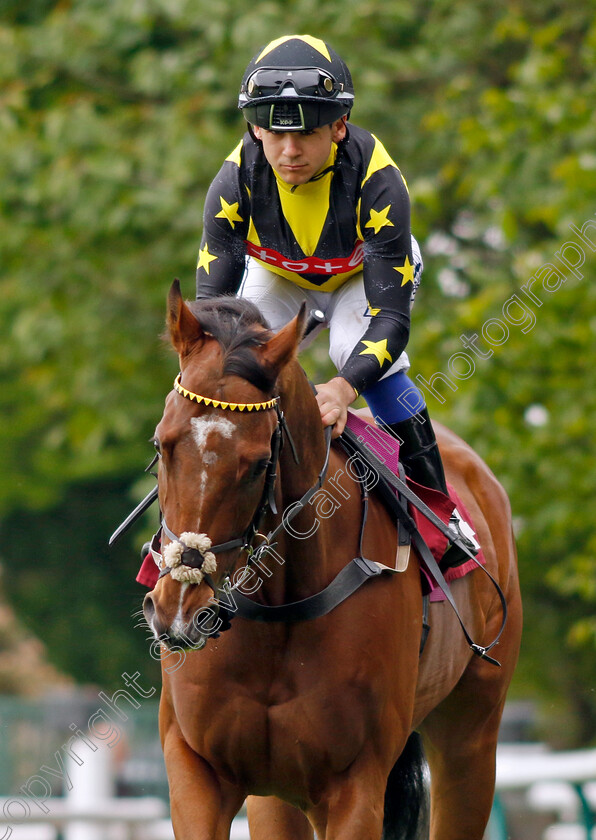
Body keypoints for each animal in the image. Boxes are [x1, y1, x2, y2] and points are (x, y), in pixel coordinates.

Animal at [141, 282, 520, 840]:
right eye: (161, 444)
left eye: (258, 463)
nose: (180, 609)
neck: (279, 614)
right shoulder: (198, 768)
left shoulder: (355, 783)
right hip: (277, 799)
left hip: (472, 736)